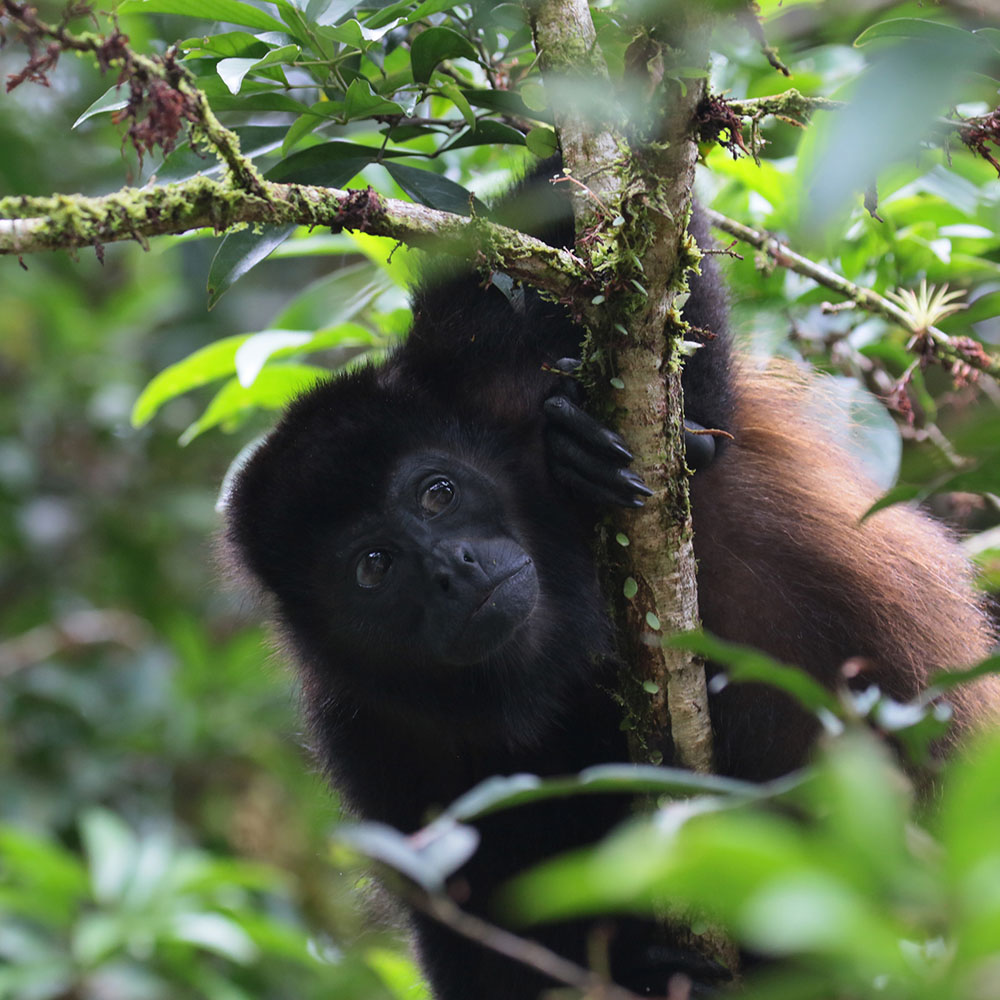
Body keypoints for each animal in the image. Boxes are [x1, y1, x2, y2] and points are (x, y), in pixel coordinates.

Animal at [223, 160, 996, 996]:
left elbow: (663, 308)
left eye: (438, 493)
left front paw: (596, 453)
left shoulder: (476, 359)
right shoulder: (370, 734)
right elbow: (473, 942)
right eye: (374, 566)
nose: (452, 572)